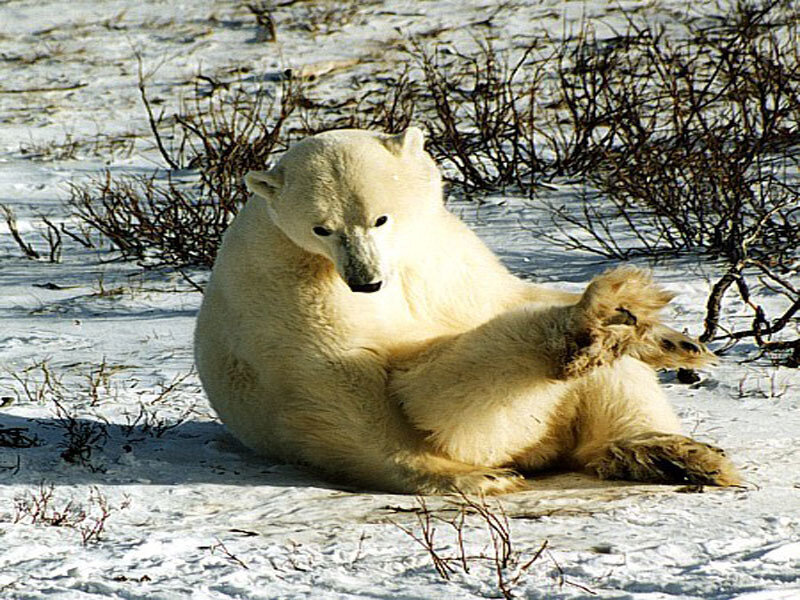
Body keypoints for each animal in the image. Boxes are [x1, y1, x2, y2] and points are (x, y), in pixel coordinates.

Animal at [194, 127, 740, 495]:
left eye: (380, 218)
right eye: (320, 228)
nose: (366, 281)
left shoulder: (447, 254)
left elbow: (498, 297)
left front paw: (670, 339)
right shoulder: (291, 285)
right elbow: (347, 382)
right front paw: (462, 478)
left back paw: (670, 446)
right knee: (448, 390)